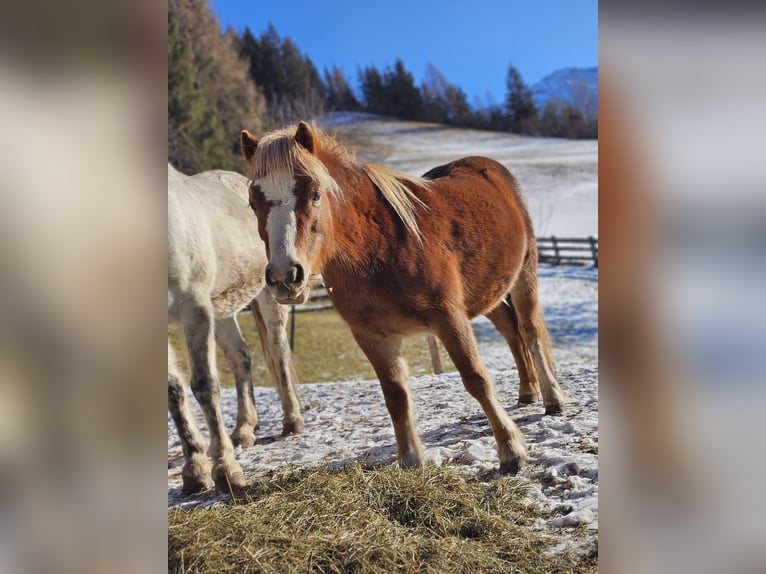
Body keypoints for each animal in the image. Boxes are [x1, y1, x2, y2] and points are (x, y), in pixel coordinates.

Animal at [167, 163, 304, 496]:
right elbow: (173, 391)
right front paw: (195, 470)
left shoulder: (194, 309)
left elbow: (205, 386)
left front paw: (226, 472)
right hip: (222, 310)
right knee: (241, 357)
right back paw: (244, 430)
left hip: (271, 295)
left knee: (279, 352)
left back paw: (291, 421)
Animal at [243, 122, 568, 476]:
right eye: (252, 204)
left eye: (315, 194)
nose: (284, 276)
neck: (379, 248)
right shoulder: (372, 336)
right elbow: (396, 396)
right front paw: (411, 460)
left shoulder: (448, 317)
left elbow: (476, 379)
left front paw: (511, 450)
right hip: (487, 293)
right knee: (511, 329)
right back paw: (527, 390)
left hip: (524, 275)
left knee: (529, 330)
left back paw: (552, 398)